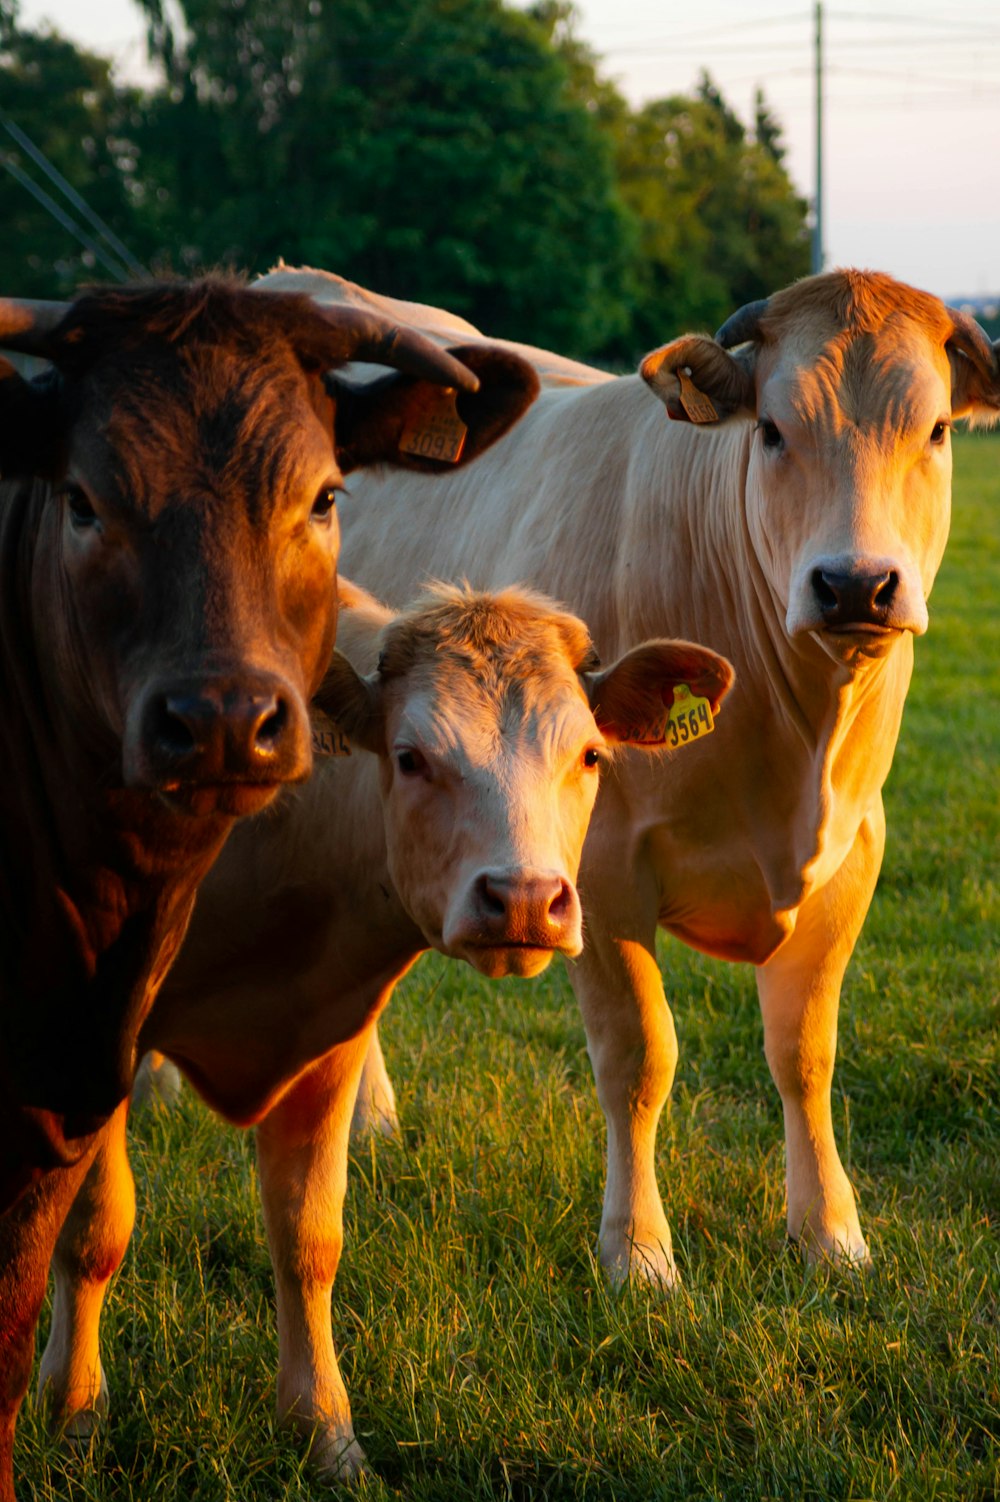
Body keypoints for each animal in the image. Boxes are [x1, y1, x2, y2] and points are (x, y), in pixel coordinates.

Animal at [39, 573, 729, 1477]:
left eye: (588, 755)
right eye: (411, 757)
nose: (524, 899)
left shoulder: (328, 1032)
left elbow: (309, 1236)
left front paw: (325, 1432)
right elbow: (94, 1228)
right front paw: (74, 1415)